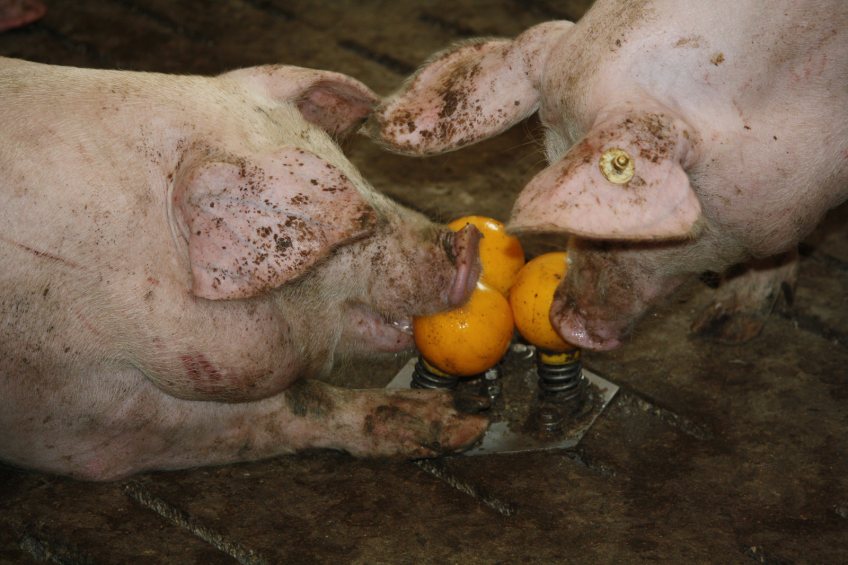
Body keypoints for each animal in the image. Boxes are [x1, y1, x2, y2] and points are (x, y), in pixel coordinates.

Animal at [0, 56, 490, 480]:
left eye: (359, 176)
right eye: (353, 230)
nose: (467, 241)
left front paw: (472, 415)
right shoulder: (75, 413)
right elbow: (289, 401)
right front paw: (465, 420)